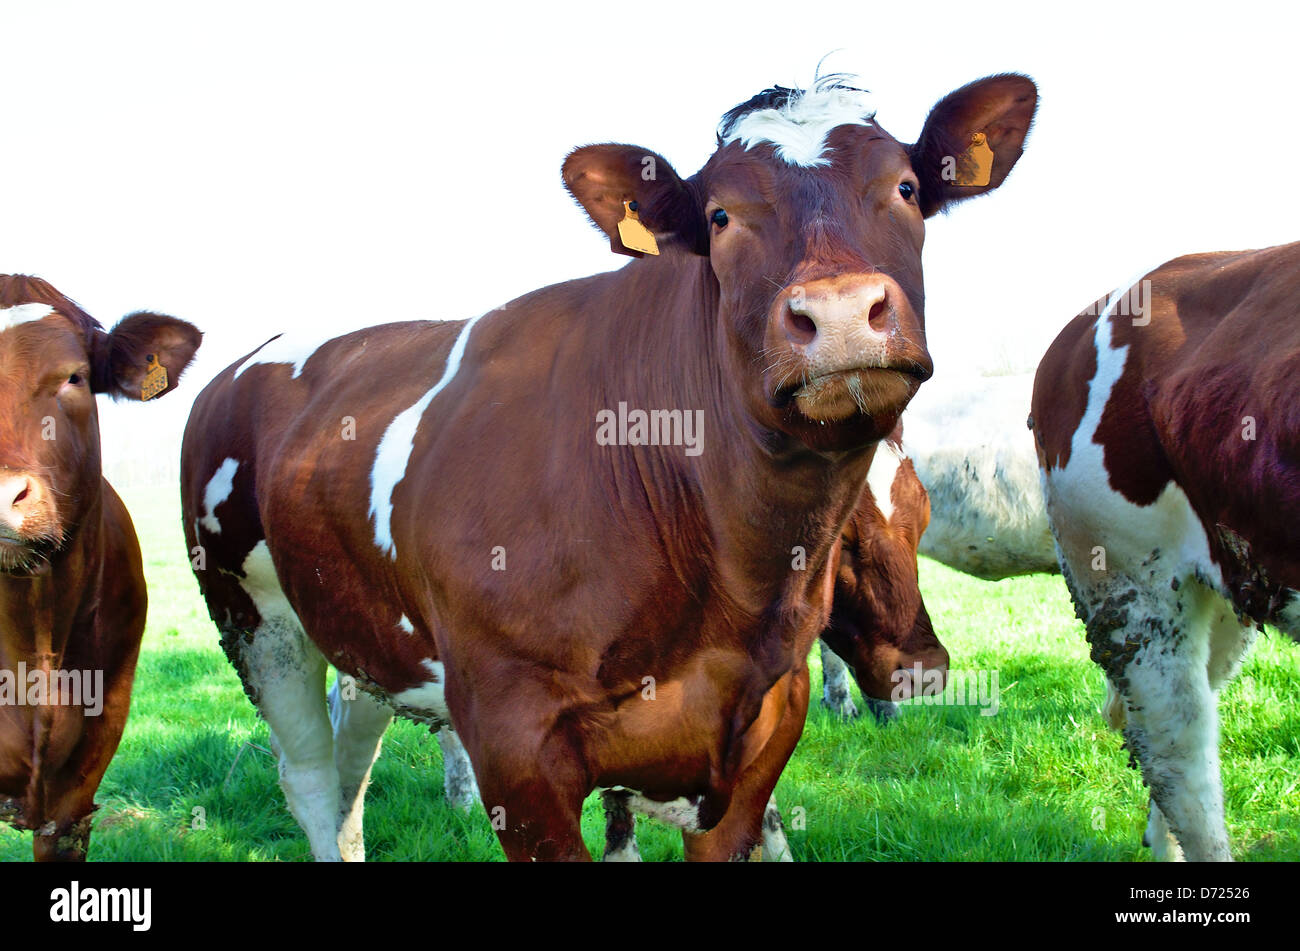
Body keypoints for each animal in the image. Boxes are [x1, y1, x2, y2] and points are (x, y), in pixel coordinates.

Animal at [181, 73, 1036, 861]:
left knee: (353, 765)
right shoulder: (512, 740)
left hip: (368, 635)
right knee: (311, 778)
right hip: (254, 615)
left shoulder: (764, 721)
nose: (841, 312)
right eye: (720, 217)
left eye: (907, 189)